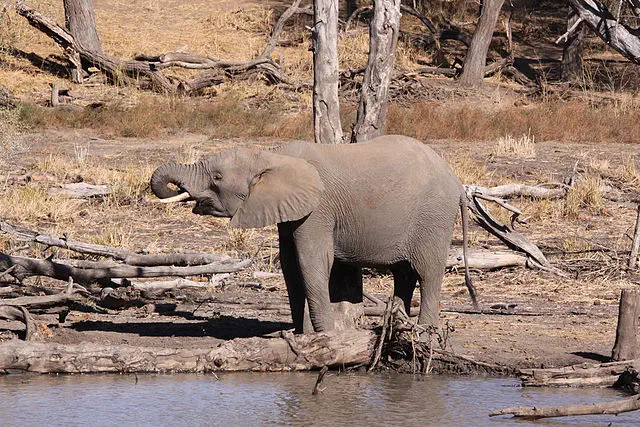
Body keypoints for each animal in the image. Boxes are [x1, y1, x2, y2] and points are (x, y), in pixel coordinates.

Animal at [150, 135, 476, 333]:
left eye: (217, 177)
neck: (271, 155)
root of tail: (458, 184)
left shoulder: (318, 210)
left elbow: (312, 261)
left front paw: (326, 335)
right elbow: (290, 265)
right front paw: (301, 334)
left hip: (433, 217)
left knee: (427, 272)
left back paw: (423, 331)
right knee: (404, 274)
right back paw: (395, 326)